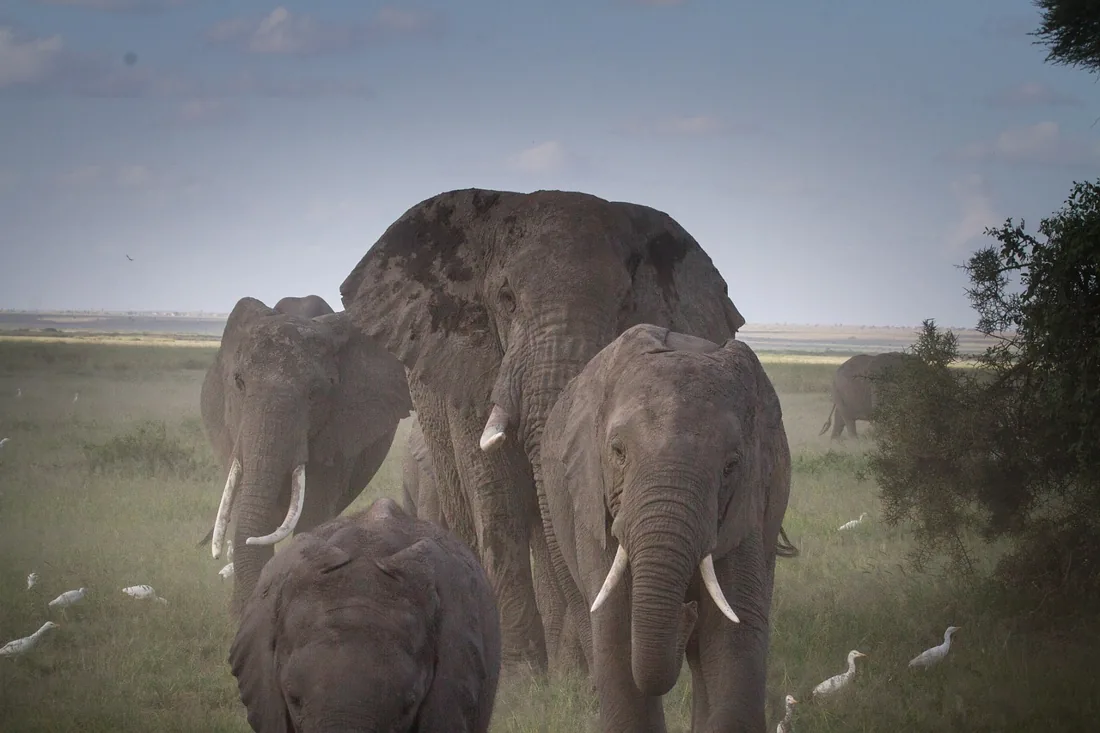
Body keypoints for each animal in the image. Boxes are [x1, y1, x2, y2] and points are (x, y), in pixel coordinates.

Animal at [339, 187, 747, 674]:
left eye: (625, 304)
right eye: (506, 298)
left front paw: (573, 672)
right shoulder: (472, 368)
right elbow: (498, 501)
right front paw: (522, 674)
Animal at [540, 324, 796, 733]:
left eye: (731, 465)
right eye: (617, 452)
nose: (686, 613)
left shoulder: (749, 504)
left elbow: (733, 630)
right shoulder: (594, 498)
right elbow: (614, 623)